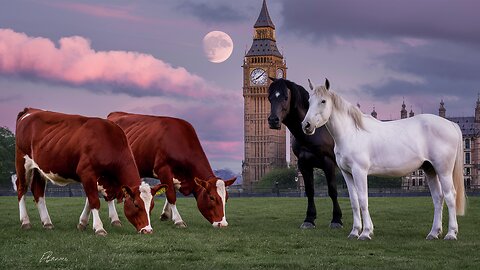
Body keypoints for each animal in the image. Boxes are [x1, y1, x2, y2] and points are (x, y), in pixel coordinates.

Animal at [15, 108, 167, 235]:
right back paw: (25, 222)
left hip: (39, 169)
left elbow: (91, 198)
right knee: (22, 188)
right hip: (22, 161)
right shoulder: (87, 172)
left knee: (38, 191)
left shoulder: (102, 179)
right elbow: (94, 200)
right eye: (136, 204)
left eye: (151, 206)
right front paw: (99, 228)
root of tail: (31, 110)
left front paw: (82, 223)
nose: (148, 230)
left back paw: (47, 223)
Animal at [108, 110, 237, 227]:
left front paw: (166, 214)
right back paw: (115, 218)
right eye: (212, 197)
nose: (223, 224)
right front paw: (178, 220)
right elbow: (171, 195)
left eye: (226, 198)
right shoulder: (163, 169)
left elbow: (169, 190)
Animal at [268, 77, 344, 228]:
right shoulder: (303, 164)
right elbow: (309, 190)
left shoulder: (328, 162)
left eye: (286, 97)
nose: (273, 120)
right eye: (269, 97)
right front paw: (309, 219)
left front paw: (336, 220)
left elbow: (332, 190)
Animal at [304, 78, 464, 240]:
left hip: (443, 171)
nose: (306, 125)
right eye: (310, 101)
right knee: (438, 198)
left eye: (323, 101)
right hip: (430, 169)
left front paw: (365, 233)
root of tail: (450, 123)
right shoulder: (347, 173)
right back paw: (433, 233)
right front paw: (355, 231)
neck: (352, 133)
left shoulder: (359, 171)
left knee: (450, 197)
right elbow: (354, 201)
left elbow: (363, 200)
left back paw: (451, 233)